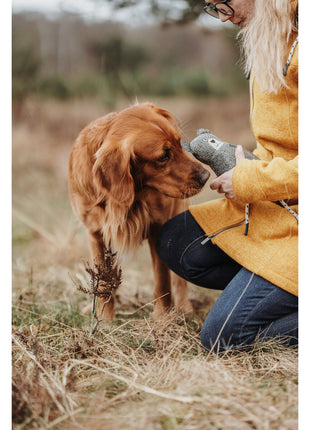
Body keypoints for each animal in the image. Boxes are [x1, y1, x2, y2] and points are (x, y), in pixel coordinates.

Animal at [68, 102, 208, 320]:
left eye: (179, 143)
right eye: (163, 156)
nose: (206, 176)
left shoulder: (158, 229)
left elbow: (162, 281)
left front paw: (162, 319)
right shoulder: (96, 234)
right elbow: (104, 282)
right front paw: (105, 319)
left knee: (179, 279)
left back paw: (185, 308)